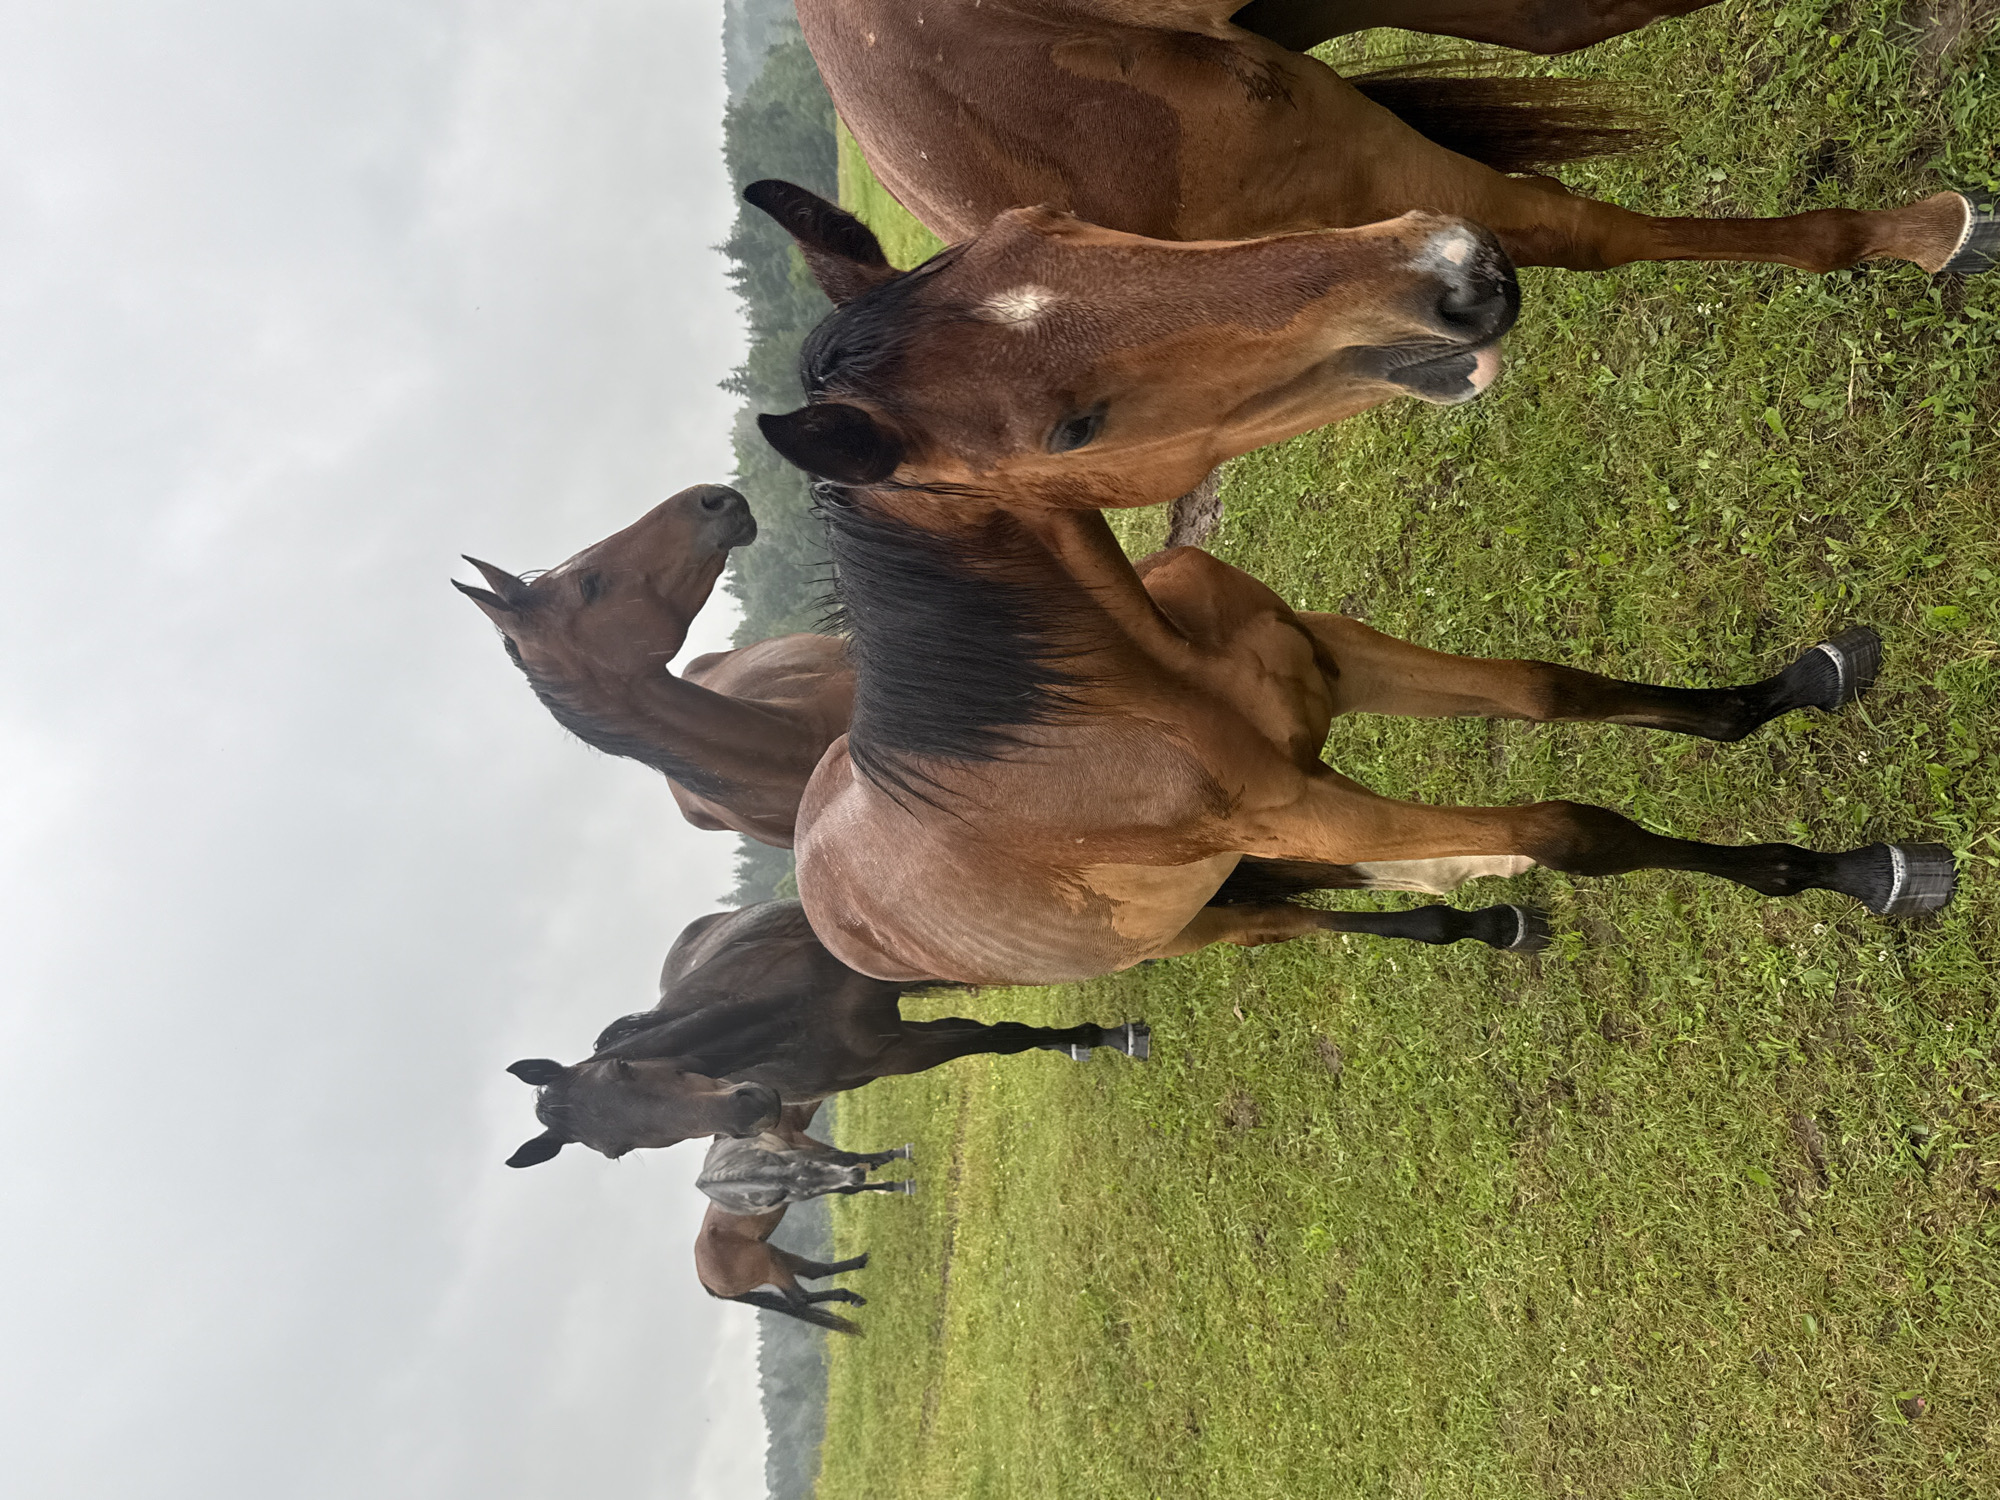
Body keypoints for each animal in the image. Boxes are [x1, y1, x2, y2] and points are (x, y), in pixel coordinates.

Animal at [695, 1201, 873, 1335]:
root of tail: (704, 1280)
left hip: (774, 1253)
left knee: (813, 1271)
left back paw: (862, 1262)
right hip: (769, 1264)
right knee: (800, 1297)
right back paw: (852, 1295)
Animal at [696, 1128, 915, 1214]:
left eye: (810, 1164)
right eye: (807, 1190)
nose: (857, 1175)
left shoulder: (801, 1154)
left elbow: (847, 1157)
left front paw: (897, 1154)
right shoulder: (820, 1188)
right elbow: (848, 1189)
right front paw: (896, 1185)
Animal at [746, 193, 1954, 987]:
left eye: (1049, 217)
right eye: (1070, 429)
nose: (1455, 274)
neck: (1119, 682)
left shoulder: (1333, 661)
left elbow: (1545, 689)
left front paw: (1790, 689)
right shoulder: (1296, 807)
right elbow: (1573, 829)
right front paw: (1863, 872)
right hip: (1208, 916)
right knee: (1316, 921)